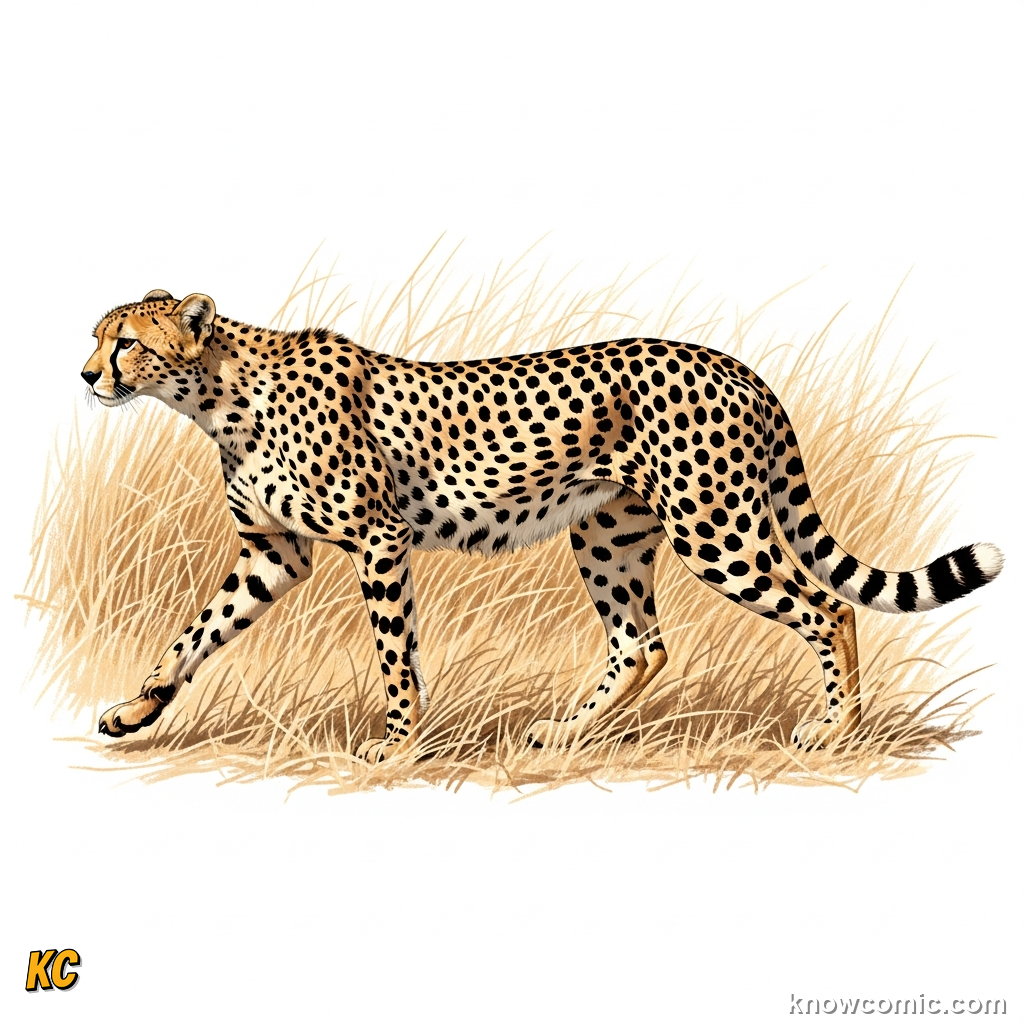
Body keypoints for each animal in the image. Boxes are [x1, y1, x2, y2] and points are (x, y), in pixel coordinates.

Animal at [82, 288, 1004, 762]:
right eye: (97, 336)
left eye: (125, 342)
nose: (87, 375)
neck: (217, 395)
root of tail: (737, 366)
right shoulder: (273, 552)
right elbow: (194, 633)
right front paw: (136, 710)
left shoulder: (379, 539)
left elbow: (392, 654)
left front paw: (398, 743)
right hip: (607, 536)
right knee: (643, 643)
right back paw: (566, 731)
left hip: (716, 530)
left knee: (828, 606)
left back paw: (835, 727)